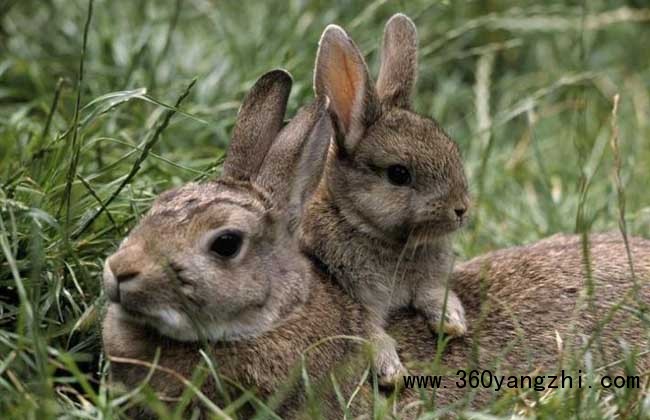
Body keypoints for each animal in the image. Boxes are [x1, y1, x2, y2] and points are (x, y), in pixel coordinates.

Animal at [296, 13, 468, 388]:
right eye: (399, 174)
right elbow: (370, 333)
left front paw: (453, 321)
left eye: (452, 151)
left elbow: (433, 293)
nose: (461, 209)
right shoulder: (355, 298)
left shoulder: (427, 280)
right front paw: (392, 372)